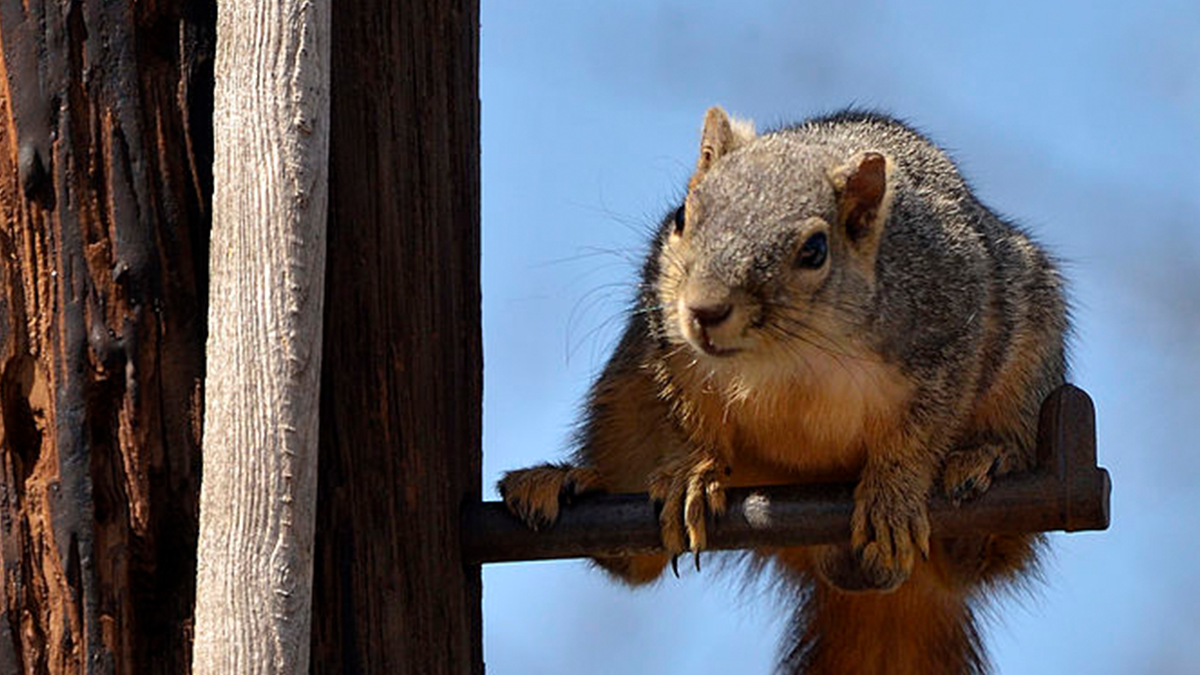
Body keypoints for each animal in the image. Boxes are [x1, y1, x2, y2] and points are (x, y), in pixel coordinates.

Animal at [496, 107, 1070, 667]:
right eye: (680, 216)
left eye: (815, 250)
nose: (704, 311)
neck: (785, 358)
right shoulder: (671, 351)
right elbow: (689, 421)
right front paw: (692, 473)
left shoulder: (947, 328)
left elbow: (924, 426)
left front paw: (893, 491)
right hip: (623, 401)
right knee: (631, 565)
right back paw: (563, 484)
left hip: (1028, 369)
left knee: (984, 557)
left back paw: (985, 462)